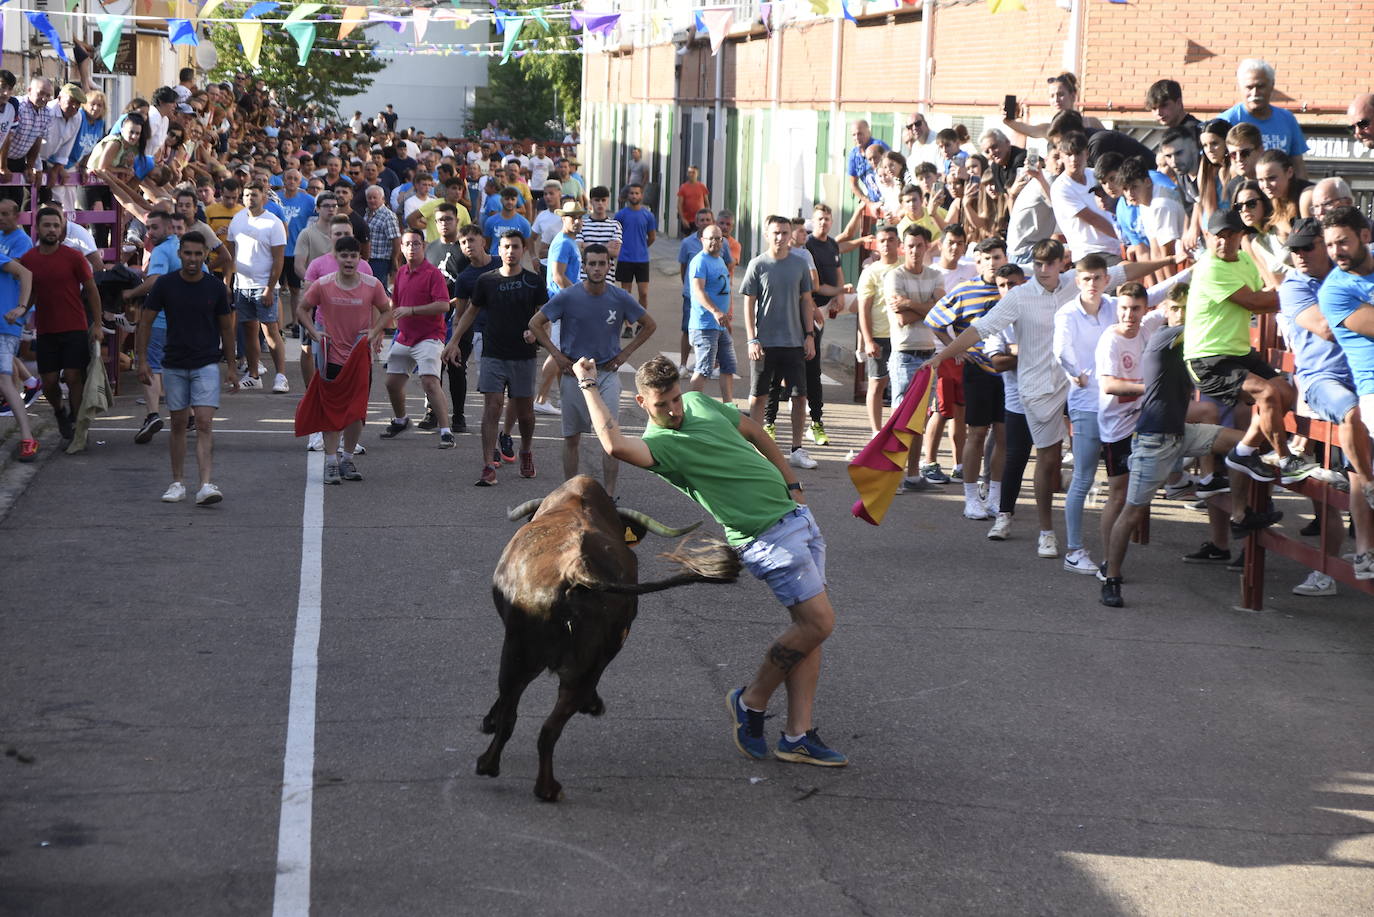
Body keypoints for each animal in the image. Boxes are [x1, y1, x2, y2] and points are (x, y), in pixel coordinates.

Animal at [480, 478, 741, 797]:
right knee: (549, 722)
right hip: (583, 660)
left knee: (519, 716)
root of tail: (575, 572)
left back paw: (503, 770)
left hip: (522, 652)